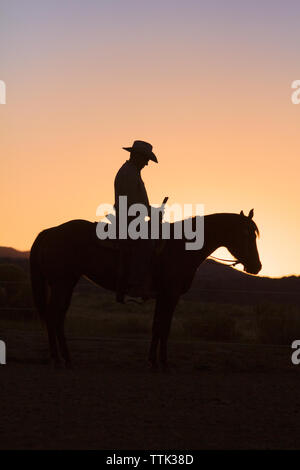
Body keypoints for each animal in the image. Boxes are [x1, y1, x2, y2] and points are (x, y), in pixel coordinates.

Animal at [29, 209, 262, 368]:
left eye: (254, 235)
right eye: (245, 234)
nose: (257, 267)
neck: (182, 246)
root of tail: (49, 232)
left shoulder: (162, 296)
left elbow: (156, 326)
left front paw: (153, 361)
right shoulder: (171, 295)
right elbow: (165, 327)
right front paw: (164, 364)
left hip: (65, 284)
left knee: (58, 317)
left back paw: (66, 358)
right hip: (61, 284)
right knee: (53, 316)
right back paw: (57, 359)